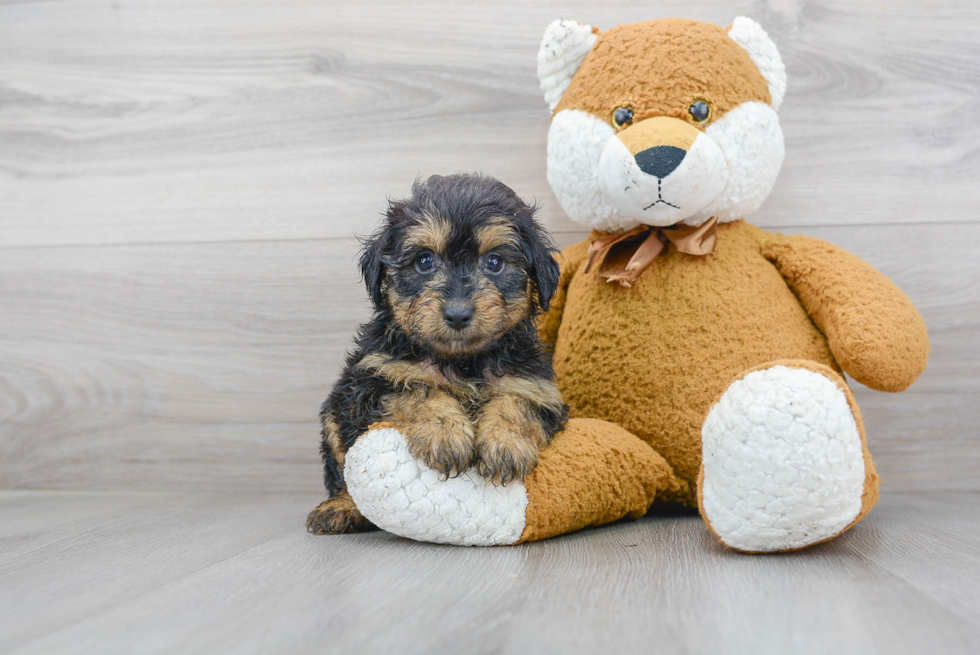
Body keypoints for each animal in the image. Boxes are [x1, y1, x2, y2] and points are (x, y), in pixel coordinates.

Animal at [306, 176, 568, 540]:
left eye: (494, 263)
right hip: (334, 414)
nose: (457, 313)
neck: (462, 361)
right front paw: (446, 433)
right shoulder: (373, 378)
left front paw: (505, 444)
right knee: (341, 468)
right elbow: (419, 389)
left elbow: (516, 402)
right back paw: (340, 508)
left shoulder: (537, 387)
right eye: (424, 261)